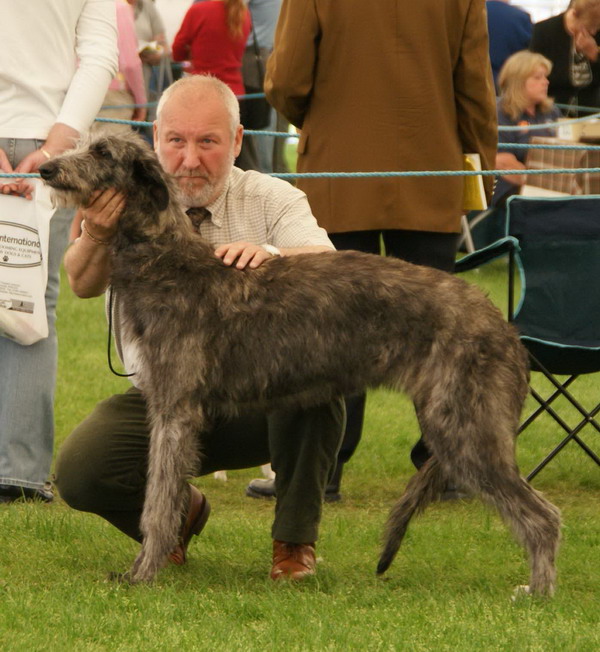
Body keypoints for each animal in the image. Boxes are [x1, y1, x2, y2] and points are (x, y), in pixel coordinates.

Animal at [41, 132, 564, 596]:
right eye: (84, 144)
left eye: (102, 152)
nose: (46, 168)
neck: (166, 260)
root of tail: (502, 324)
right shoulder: (169, 410)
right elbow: (161, 494)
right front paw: (148, 565)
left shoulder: (175, 410)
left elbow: (158, 500)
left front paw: (144, 574)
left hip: (464, 429)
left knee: (543, 516)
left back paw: (537, 592)